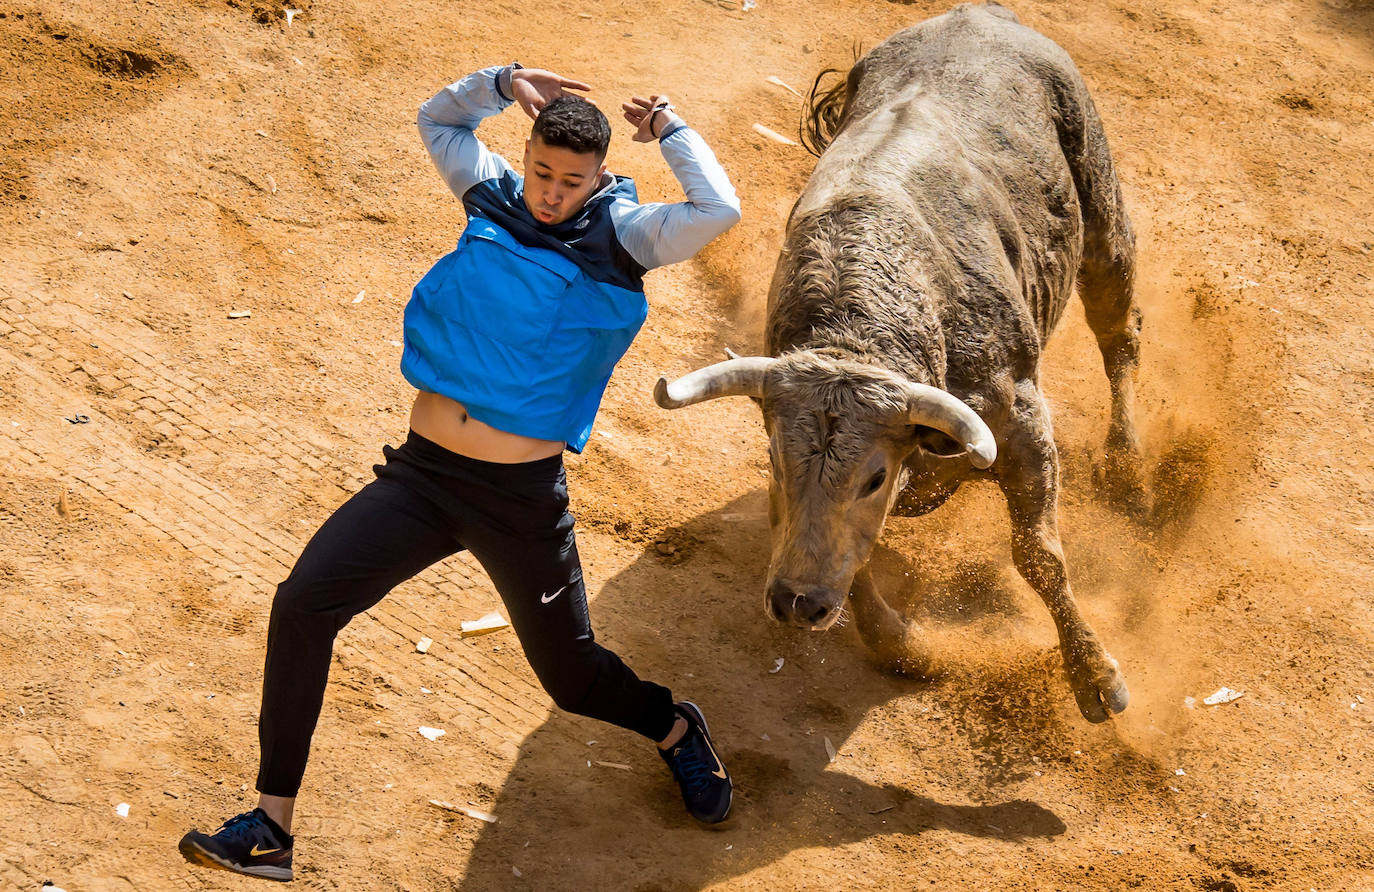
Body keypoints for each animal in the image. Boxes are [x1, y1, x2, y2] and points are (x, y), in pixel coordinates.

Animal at [654, 1, 1137, 725]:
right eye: (774, 460)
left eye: (873, 477)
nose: (795, 602)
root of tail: (981, 14)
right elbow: (853, 554)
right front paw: (902, 647)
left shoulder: (1024, 421)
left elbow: (1039, 555)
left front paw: (1095, 678)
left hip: (1101, 211)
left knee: (1119, 331)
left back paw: (1130, 471)